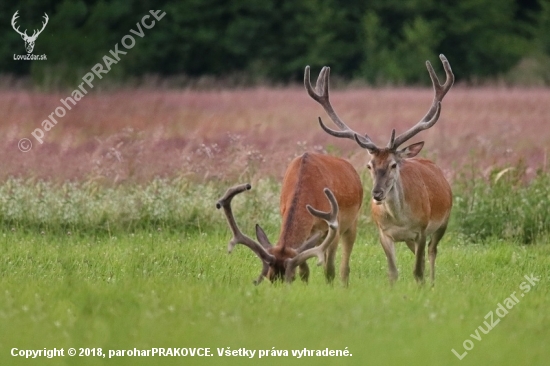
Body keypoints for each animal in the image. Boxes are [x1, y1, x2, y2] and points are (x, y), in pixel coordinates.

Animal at [218, 153, 364, 284]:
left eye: (291, 277)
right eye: (270, 277)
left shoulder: (334, 227)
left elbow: (330, 270)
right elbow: (304, 270)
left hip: (352, 223)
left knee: (344, 266)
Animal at [306, 54, 458, 284]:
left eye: (393, 164)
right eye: (369, 165)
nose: (377, 194)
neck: (400, 220)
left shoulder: (422, 229)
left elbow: (418, 271)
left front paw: (423, 286)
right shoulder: (384, 233)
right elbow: (393, 272)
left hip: (444, 220)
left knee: (432, 252)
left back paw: (432, 283)